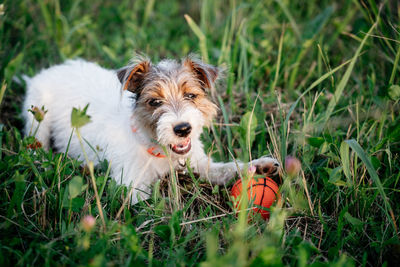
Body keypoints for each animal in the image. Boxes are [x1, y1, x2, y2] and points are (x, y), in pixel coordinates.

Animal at [21, 56, 280, 203]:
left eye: (191, 96)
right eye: (154, 102)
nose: (183, 129)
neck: (159, 150)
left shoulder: (200, 164)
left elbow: (229, 168)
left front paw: (260, 166)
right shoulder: (132, 187)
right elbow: (151, 207)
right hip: (37, 116)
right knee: (34, 143)